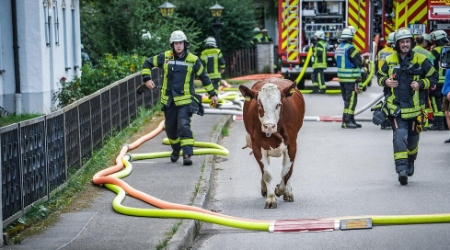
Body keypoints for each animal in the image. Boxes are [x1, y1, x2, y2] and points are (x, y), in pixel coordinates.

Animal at [239, 77, 306, 208]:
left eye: (278, 104)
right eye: (259, 104)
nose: (269, 126)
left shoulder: (292, 146)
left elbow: (286, 173)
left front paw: (280, 190)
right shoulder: (257, 146)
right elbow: (267, 174)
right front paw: (270, 198)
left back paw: (288, 192)